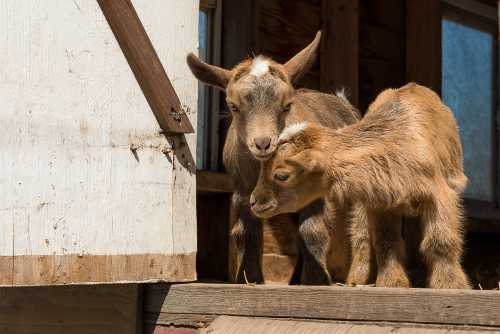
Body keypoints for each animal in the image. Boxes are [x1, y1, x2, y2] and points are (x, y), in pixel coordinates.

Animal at [252, 82, 470, 288]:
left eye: (282, 175)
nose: (254, 202)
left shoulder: (439, 195)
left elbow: (439, 241)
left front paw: (450, 284)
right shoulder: (381, 202)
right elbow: (385, 240)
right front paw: (391, 282)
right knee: (361, 236)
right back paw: (357, 278)